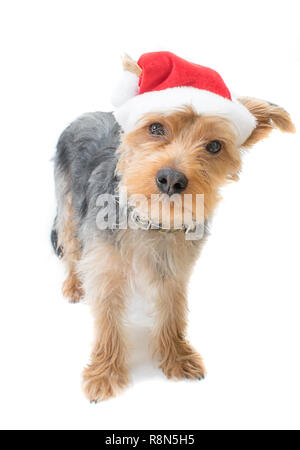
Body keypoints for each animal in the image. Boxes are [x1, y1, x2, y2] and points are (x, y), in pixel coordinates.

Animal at [52, 51, 296, 400]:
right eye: (156, 128)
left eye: (214, 146)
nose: (171, 179)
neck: (152, 221)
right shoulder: (105, 266)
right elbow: (108, 322)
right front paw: (105, 374)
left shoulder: (174, 270)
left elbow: (172, 313)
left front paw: (177, 358)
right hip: (68, 205)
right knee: (70, 246)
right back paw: (74, 284)